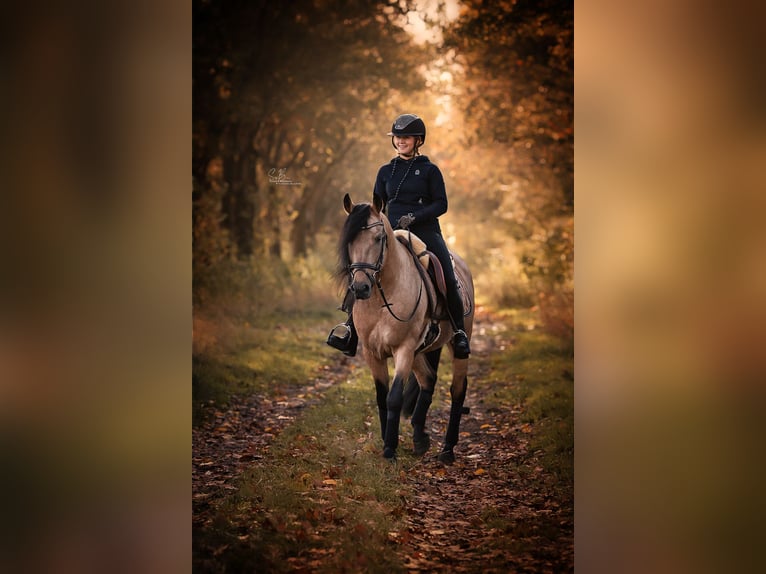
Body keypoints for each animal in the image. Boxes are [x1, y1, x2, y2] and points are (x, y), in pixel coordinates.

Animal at [336, 193, 474, 463]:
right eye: (349, 240)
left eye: (379, 239)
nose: (360, 288)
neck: (383, 298)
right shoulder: (373, 352)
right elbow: (381, 397)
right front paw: (386, 441)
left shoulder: (404, 349)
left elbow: (394, 397)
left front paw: (390, 448)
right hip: (420, 352)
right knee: (428, 380)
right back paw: (420, 438)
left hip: (454, 346)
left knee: (457, 390)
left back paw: (447, 450)